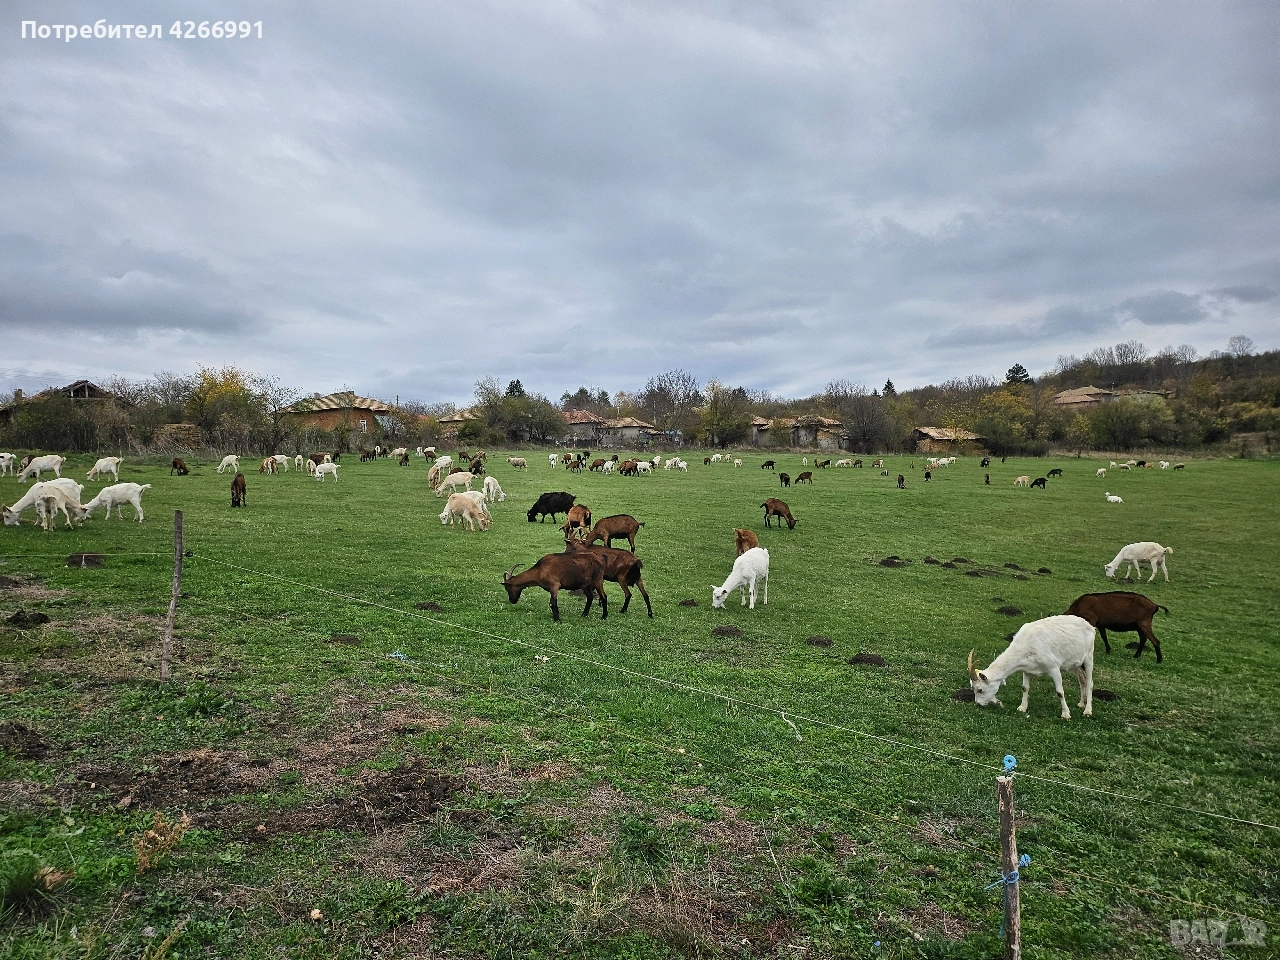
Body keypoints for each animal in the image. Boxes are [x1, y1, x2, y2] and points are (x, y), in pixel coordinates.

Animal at [967, 615, 1095, 720]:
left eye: (980, 689)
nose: (978, 704)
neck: (1027, 645)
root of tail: (1091, 626)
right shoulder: (1027, 669)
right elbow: (1025, 688)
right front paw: (1022, 708)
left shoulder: (1053, 667)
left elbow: (1059, 692)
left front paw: (1066, 714)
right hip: (1074, 663)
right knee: (1082, 678)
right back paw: (1081, 703)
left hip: (1089, 656)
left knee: (1089, 682)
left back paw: (1088, 710)